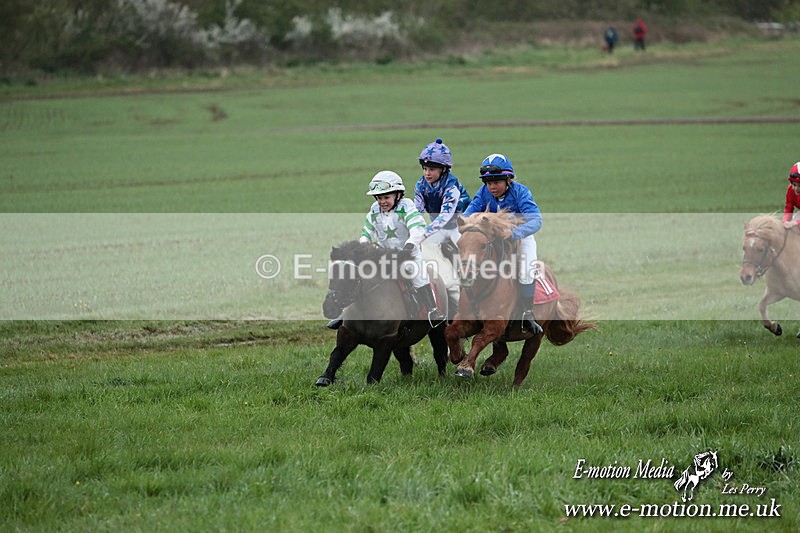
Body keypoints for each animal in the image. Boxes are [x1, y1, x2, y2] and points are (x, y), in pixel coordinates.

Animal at [316, 240, 449, 386]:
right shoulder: (348, 332)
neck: (369, 308)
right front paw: (325, 378)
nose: (329, 308)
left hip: (437, 330)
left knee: (440, 354)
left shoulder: (386, 340)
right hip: (402, 342)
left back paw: (442, 378)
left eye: (350, 277)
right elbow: (336, 355)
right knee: (406, 362)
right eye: (332, 275)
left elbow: (376, 370)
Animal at [444, 211, 596, 387]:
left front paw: (466, 367)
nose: (465, 274)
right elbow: (450, 332)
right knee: (502, 350)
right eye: (459, 244)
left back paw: (514, 387)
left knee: (525, 360)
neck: (483, 290)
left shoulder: (496, 324)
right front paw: (458, 355)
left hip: (536, 335)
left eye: (482, 245)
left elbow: (479, 339)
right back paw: (490, 365)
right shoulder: (467, 320)